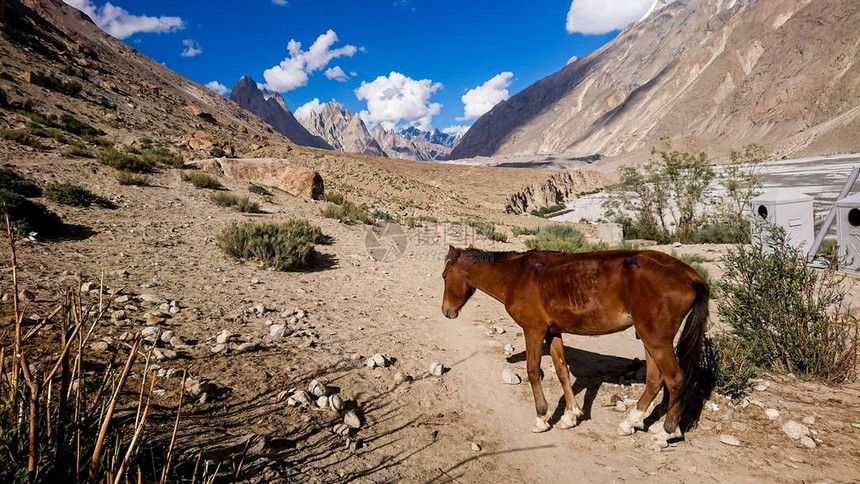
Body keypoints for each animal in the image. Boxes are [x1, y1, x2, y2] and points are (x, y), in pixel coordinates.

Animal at [440, 246, 708, 446]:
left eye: (444, 276)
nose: (446, 311)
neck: (516, 275)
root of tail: (690, 276)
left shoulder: (534, 331)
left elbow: (532, 372)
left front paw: (541, 418)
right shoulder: (553, 333)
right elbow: (562, 372)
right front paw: (570, 416)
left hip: (656, 339)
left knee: (675, 379)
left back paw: (667, 432)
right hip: (649, 339)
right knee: (655, 379)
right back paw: (630, 423)